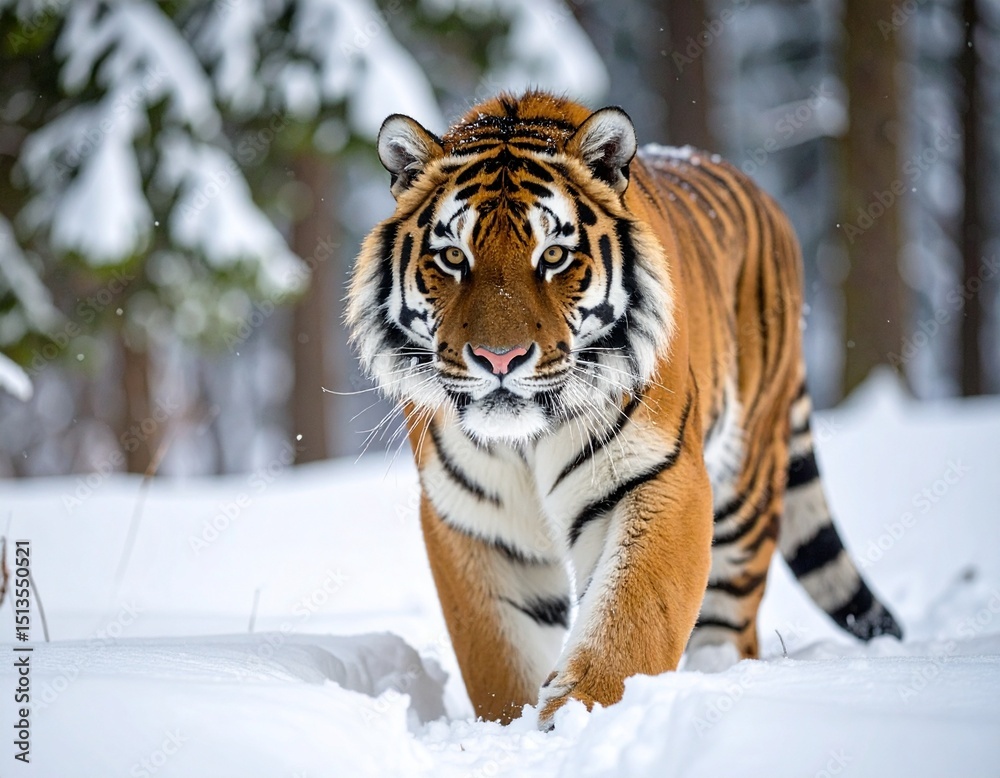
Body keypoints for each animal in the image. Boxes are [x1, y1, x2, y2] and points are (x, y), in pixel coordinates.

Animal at [346, 91, 902, 728]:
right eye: (453, 257)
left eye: (554, 256)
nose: (498, 358)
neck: (526, 441)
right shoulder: (473, 518)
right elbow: (499, 653)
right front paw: (515, 728)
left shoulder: (657, 475)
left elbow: (631, 619)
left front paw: (580, 715)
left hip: (748, 489)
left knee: (731, 622)